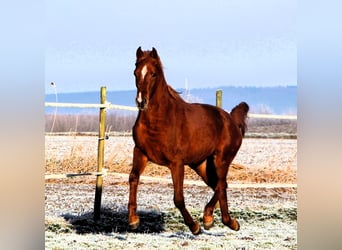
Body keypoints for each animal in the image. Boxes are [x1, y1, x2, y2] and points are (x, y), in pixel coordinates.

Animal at [128, 47, 248, 234]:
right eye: (135, 73)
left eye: (154, 74)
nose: (141, 101)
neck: (159, 121)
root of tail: (231, 120)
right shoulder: (140, 153)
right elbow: (133, 178)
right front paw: (133, 220)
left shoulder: (176, 163)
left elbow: (178, 198)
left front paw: (194, 226)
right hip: (201, 164)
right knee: (221, 186)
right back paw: (216, 219)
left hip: (221, 160)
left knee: (221, 185)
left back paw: (221, 220)